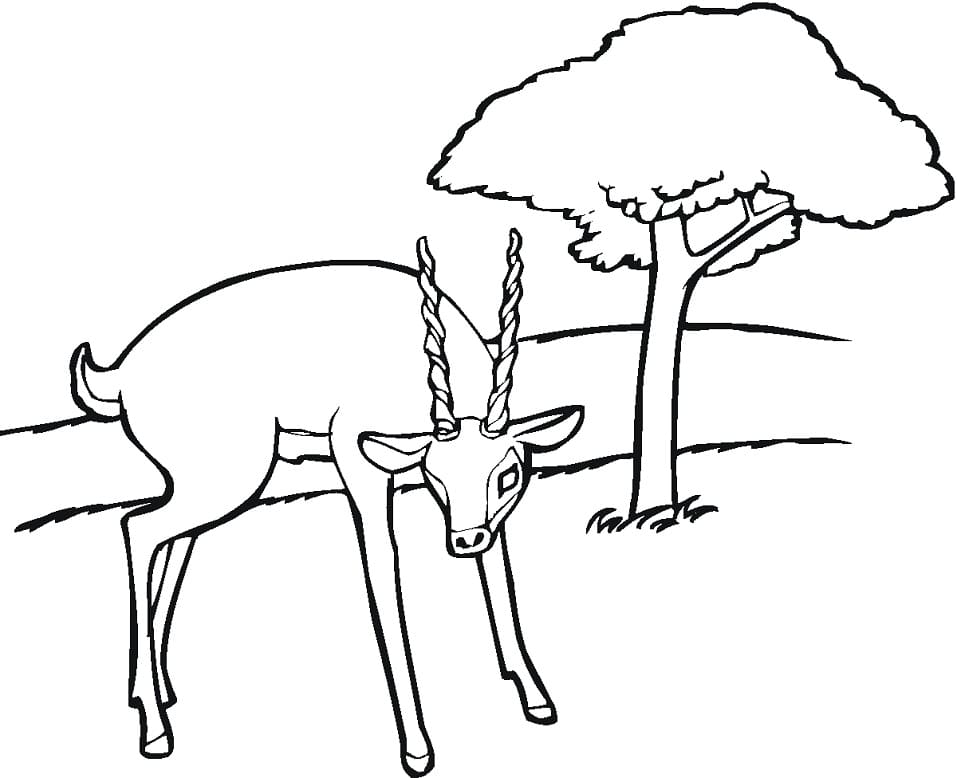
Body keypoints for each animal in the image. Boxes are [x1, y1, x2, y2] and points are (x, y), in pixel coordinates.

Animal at [67, 229, 583, 776]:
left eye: (508, 475)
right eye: (435, 476)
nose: (465, 541)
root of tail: (119, 376)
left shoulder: (482, 513)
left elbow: (500, 578)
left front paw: (537, 698)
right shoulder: (358, 461)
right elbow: (384, 570)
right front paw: (418, 748)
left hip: (202, 483)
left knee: (168, 546)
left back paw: (157, 695)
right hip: (227, 481)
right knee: (137, 527)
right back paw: (155, 730)